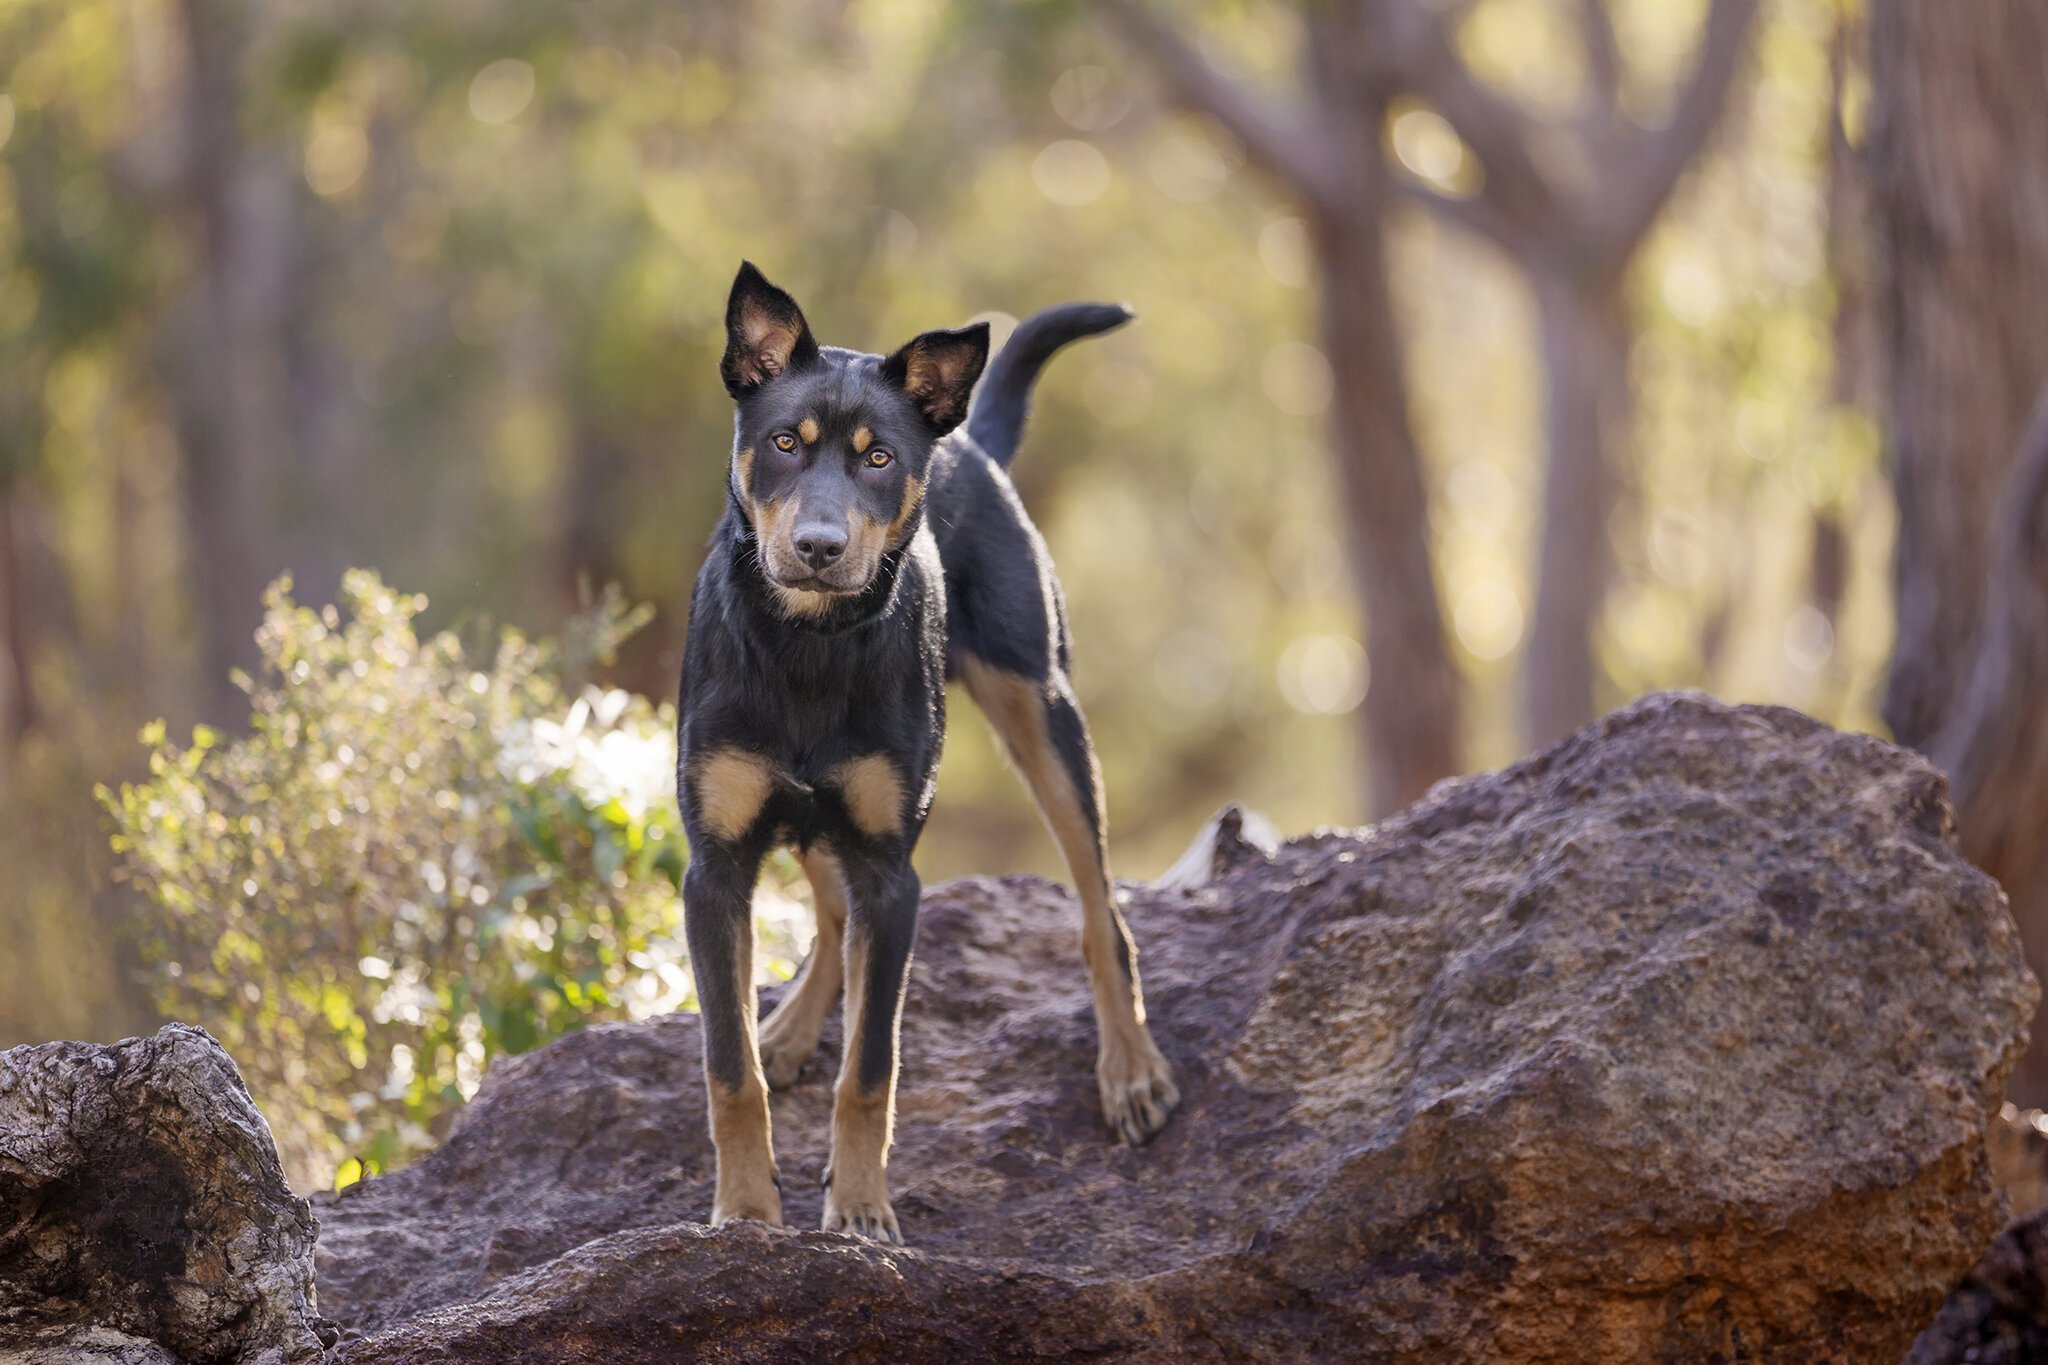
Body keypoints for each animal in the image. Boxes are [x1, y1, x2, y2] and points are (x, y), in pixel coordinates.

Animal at [675, 261, 1179, 1244]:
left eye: (878, 459)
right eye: (784, 442)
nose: (820, 547)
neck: (807, 645)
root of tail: (968, 439)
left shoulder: (892, 871)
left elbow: (872, 1067)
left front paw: (862, 1209)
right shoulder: (715, 871)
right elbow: (729, 1067)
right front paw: (748, 1211)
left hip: (1043, 712)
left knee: (1101, 908)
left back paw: (1130, 1066)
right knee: (832, 918)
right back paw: (788, 1031)